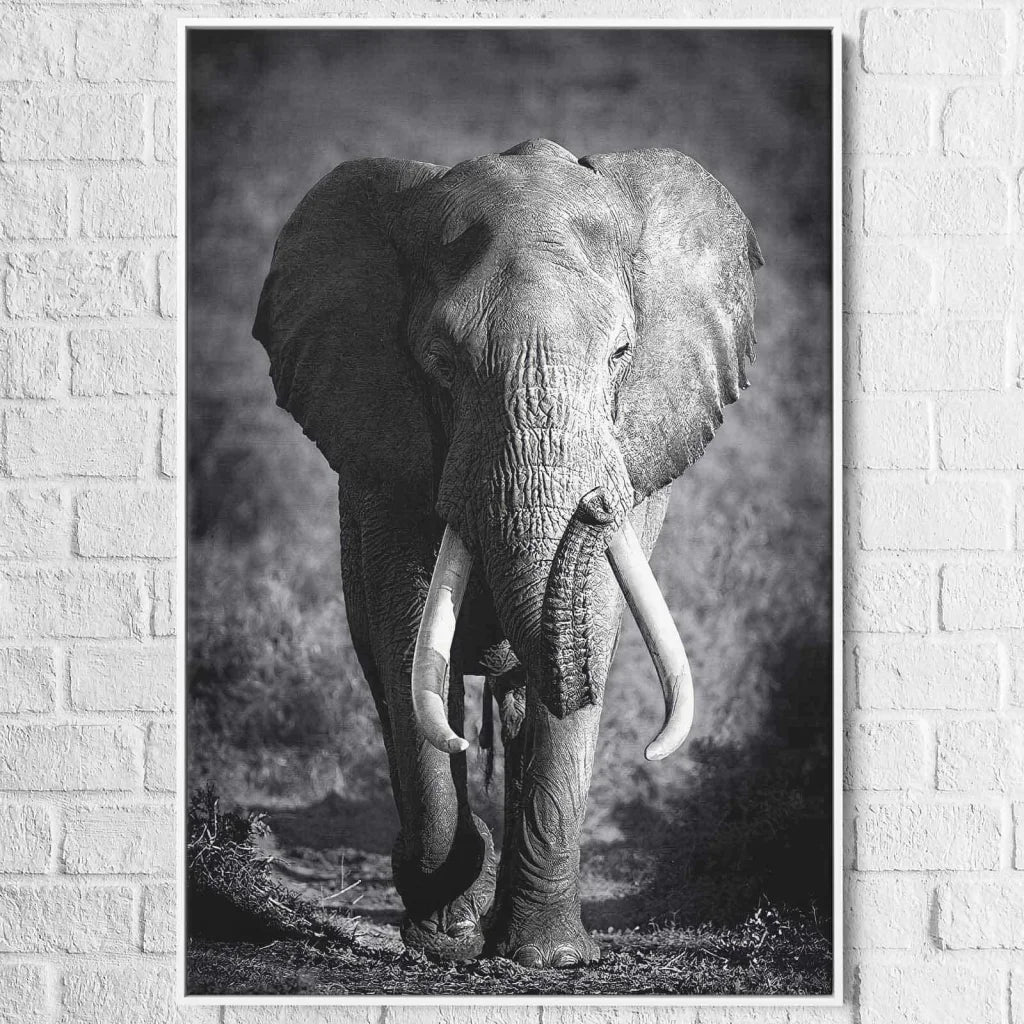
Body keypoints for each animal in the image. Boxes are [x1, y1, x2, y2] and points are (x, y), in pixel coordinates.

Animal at [253, 138, 761, 968]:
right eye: (441, 363)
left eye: (622, 353)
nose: (593, 505)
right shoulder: (385, 462)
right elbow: (407, 646)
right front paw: (444, 931)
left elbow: (588, 635)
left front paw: (550, 958)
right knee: (396, 680)